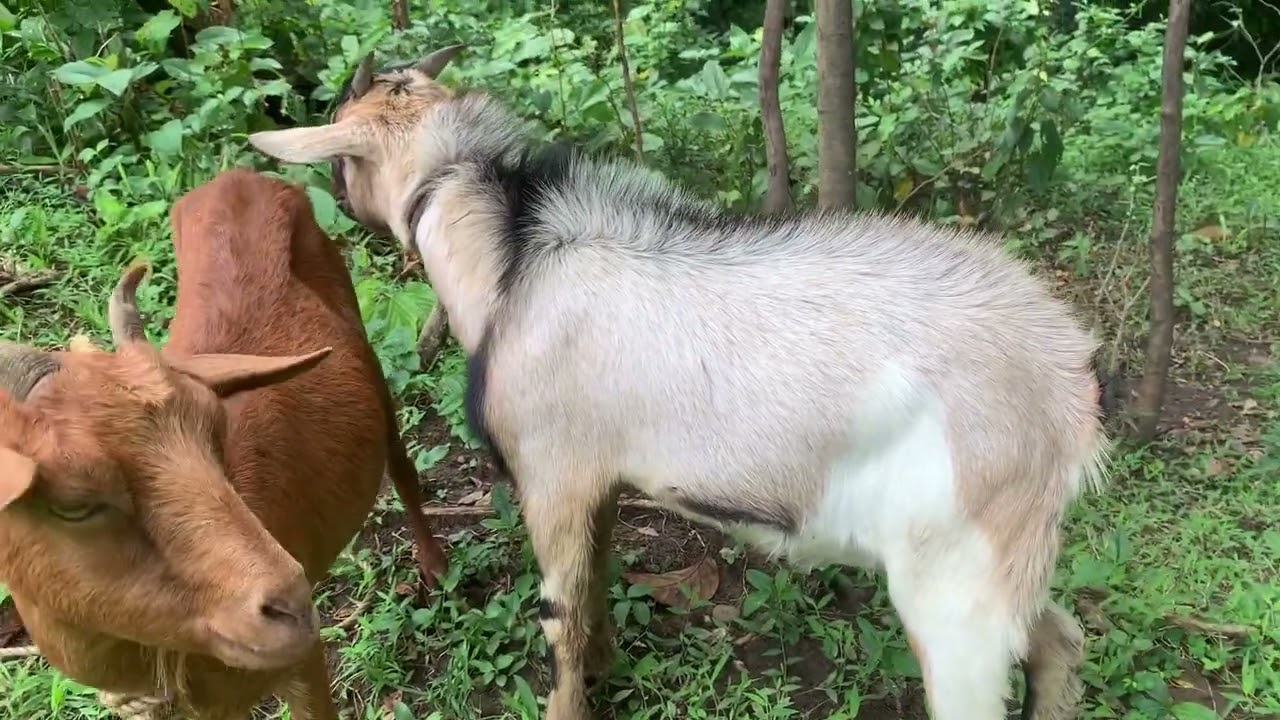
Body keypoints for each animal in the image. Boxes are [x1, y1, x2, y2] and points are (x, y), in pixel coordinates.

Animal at [0, 168, 448, 720]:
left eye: (215, 433)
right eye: (72, 503)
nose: (292, 604)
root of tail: (237, 178)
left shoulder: (300, 662)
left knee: (401, 462)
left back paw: (435, 567)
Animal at [247, 48, 1111, 720]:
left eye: (341, 149)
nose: (341, 204)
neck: (513, 268)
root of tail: (1067, 381)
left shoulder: (549, 474)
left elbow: (559, 617)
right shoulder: (597, 479)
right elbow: (595, 583)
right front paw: (605, 668)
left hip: (952, 578)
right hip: (1001, 562)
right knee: (1059, 639)